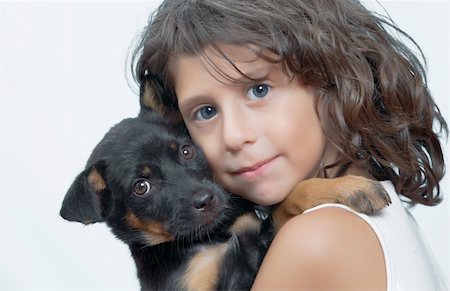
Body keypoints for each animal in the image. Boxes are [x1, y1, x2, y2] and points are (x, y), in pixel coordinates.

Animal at [59, 105, 390, 290]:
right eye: (141, 187)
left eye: (186, 151)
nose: (207, 199)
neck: (209, 239)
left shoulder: (262, 241)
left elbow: (289, 199)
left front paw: (347, 187)